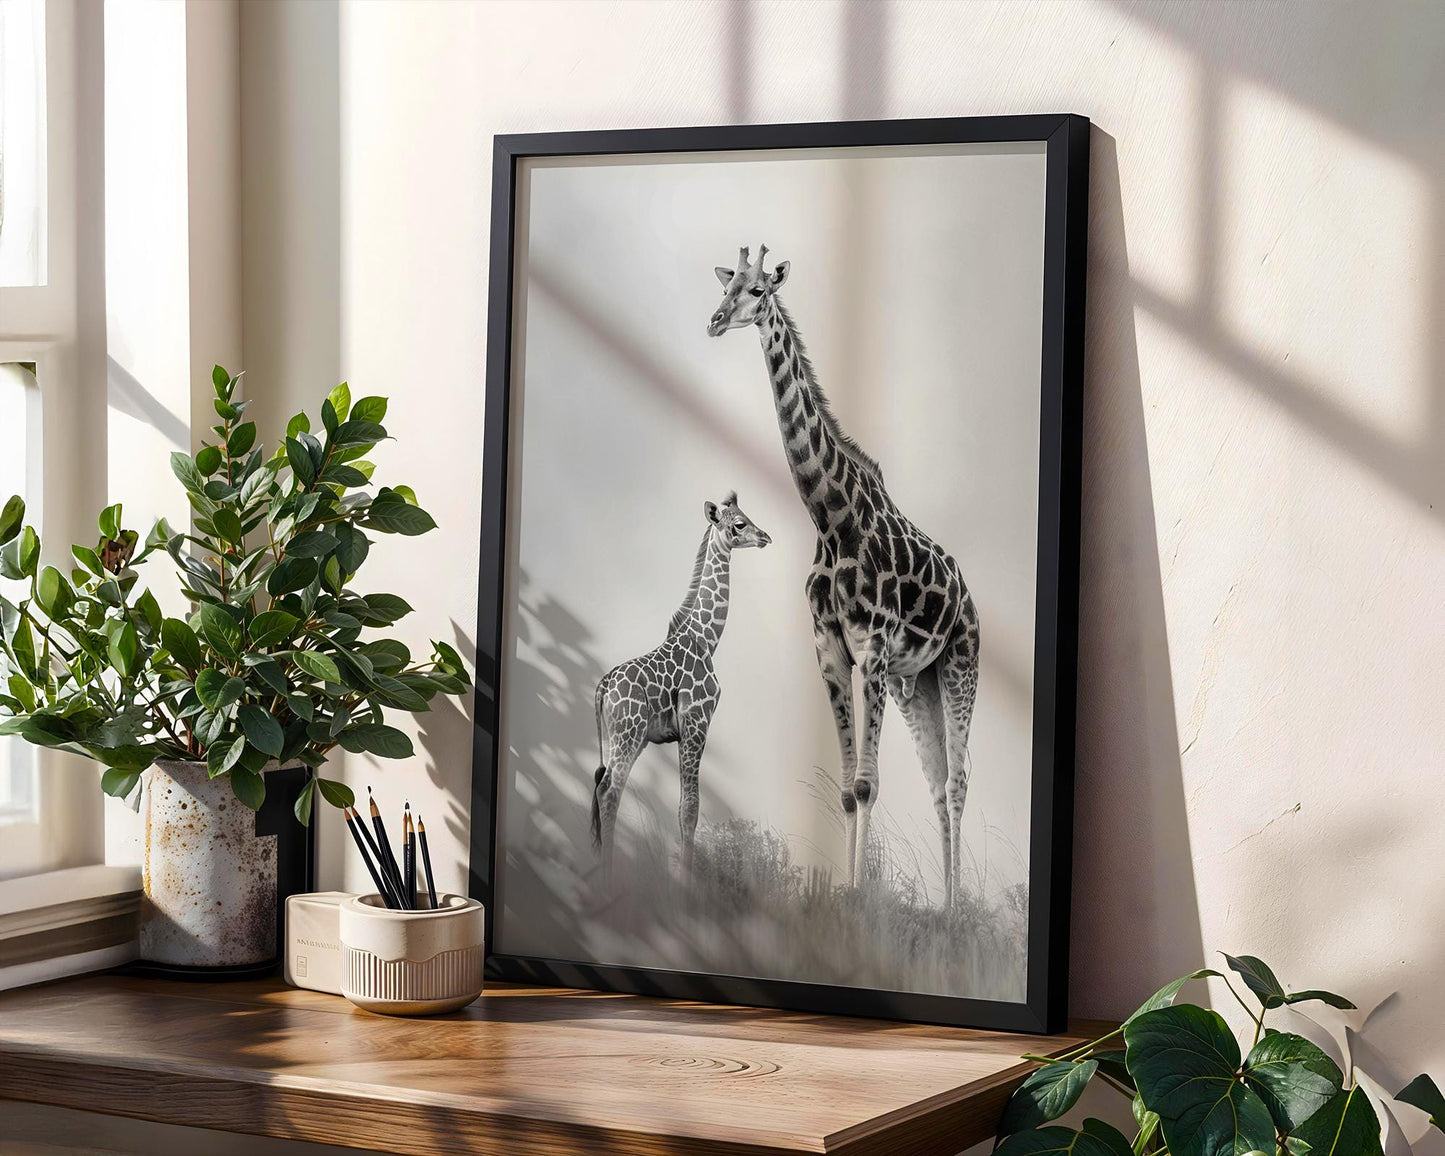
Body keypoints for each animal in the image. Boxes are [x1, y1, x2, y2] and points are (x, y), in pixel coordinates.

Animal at [590, 491, 771, 877]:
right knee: (610, 791)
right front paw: (684, 881)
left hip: (619, 738)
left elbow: (683, 808)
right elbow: (690, 808)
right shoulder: (696, 722)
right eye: (739, 524)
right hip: (629, 736)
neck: (706, 638)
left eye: (747, 516)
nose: (765, 537)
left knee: (602, 787)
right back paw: (608, 874)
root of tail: (603, 687)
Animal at [706, 246, 981, 908]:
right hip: (918, 684)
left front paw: (857, 901)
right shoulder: (830, 651)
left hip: (960, 665)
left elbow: (867, 784)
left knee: (958, 781)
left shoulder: (872, 652)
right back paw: (944, 908)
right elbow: (847, 787)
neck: (831, 518)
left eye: (758, 290)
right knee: (937, 784)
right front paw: (845, 896)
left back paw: (955, 910)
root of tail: (971, 599)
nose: (716, 320)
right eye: (728, 285)